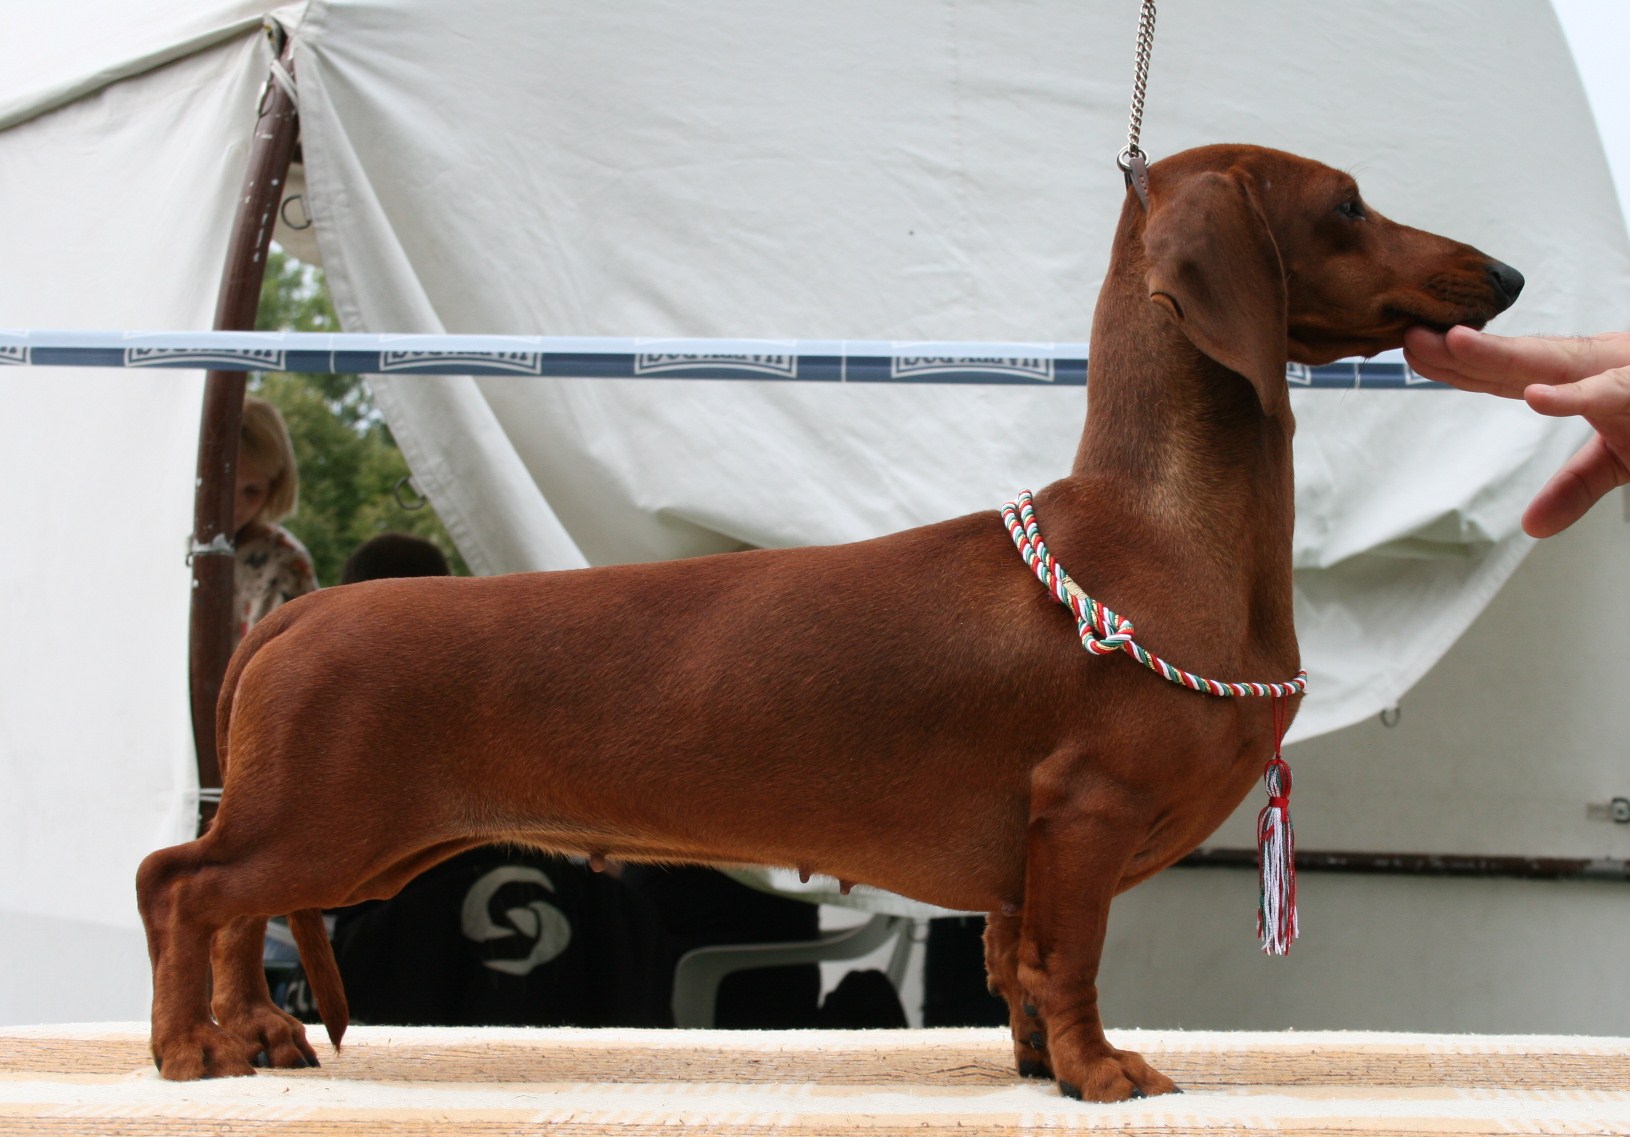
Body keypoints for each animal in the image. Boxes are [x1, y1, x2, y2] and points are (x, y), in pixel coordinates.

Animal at [138, 144, 1521, 1100]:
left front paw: (1037, 1064)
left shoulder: (1025, 860)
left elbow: (1019, 966)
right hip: (324, 826)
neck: (1162, 528)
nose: (1505, 272)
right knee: (181, 885)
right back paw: (187, 1049)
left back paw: (254, 1033)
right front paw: (1099, 1073)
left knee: (229, 910)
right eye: (1347, 205)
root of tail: (300, 616)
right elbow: (1071, 963)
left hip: (336, 843)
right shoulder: (1084, 812)